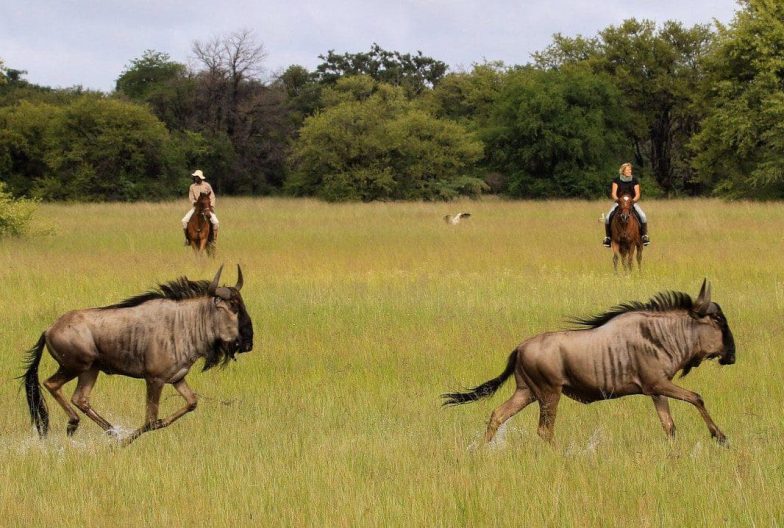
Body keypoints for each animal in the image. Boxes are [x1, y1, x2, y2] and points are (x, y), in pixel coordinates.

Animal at [20, 266, 254, 444]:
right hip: (76, 366)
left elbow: (191, 403)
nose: (248, 344)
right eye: (233, 307)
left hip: (91, 370)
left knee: (80, 398)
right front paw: (124, 442)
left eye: (241, 304)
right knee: (52, 384)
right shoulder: (154, 379)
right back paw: (77, 424)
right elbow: (150, 421)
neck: (185, 325)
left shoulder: (177, 378)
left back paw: (109, 431)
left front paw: (128, 436)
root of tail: (48, 329)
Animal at [444, 280, 740, 446]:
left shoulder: (656, 390)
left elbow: (669, 427)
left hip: (526, 392)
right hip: (549, 394)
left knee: (497, 414)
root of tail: (520, 347)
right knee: (544, 430)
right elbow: (696, 397)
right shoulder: (658, 384)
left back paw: (482, 451)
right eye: (718, 320)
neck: (661, 335)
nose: (732, 356)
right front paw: (720, 437)